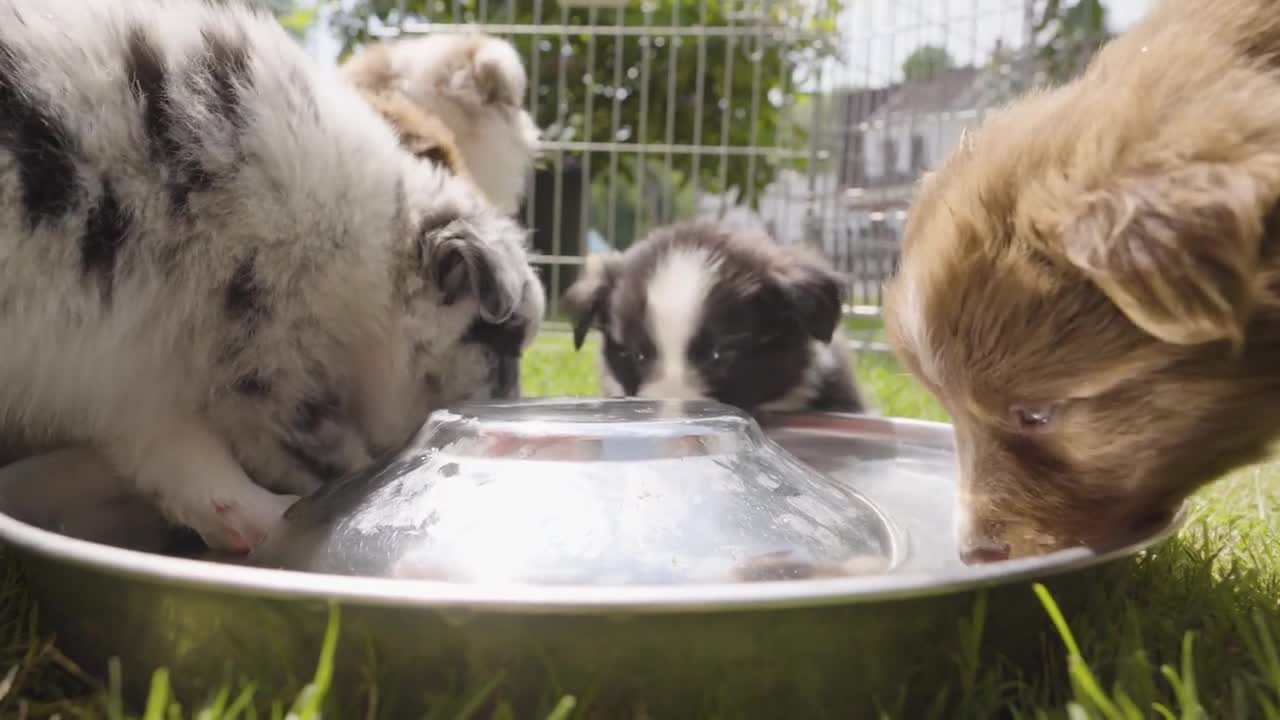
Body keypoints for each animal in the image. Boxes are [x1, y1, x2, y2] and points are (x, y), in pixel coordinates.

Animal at [0, 0, 545, 548]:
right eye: (505, 350)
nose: (513, 406)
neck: (375, 252)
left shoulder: (130, 368)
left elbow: (181, 459)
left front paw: (257, 520)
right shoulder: (269, 354)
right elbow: (316, 451)